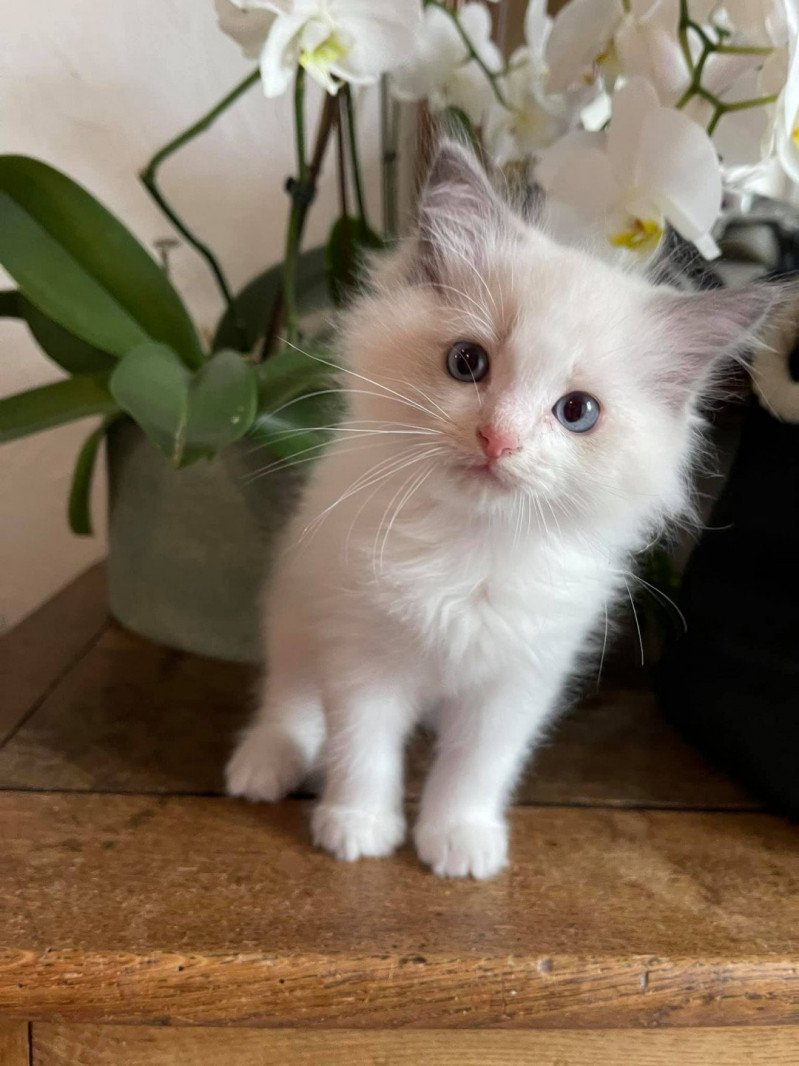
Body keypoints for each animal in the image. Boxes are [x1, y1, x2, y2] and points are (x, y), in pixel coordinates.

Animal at [230, 141, 784, 878]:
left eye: (577, 412)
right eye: (467, 363)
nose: (498, 439)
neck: (472, 549)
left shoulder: (521, 677)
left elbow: (477, 765)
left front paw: (458, 839)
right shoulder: (362, 649)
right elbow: (362, 748)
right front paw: (358, 826)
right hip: (298, 597)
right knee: (288, 691)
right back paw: (266, 761)